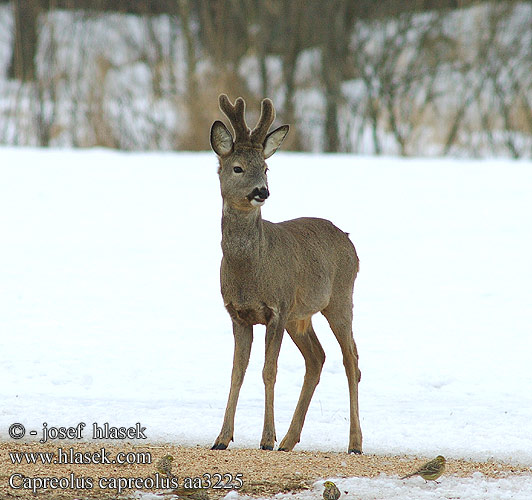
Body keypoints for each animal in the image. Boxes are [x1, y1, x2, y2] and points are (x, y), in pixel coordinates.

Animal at [209, 94, 362, 454]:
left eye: (265, 168)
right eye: (237, 167)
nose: (261, 191)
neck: (249, 271)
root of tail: (348, 240)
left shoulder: (276, 309)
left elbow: (269, 371)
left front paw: (266, 438)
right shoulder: (238, 313)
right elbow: (237, 372)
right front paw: (222, 437)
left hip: (340, 299)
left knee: (351, 359)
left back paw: (354, 442)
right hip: (300, 315)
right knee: (317, 358)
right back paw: (290, 440)